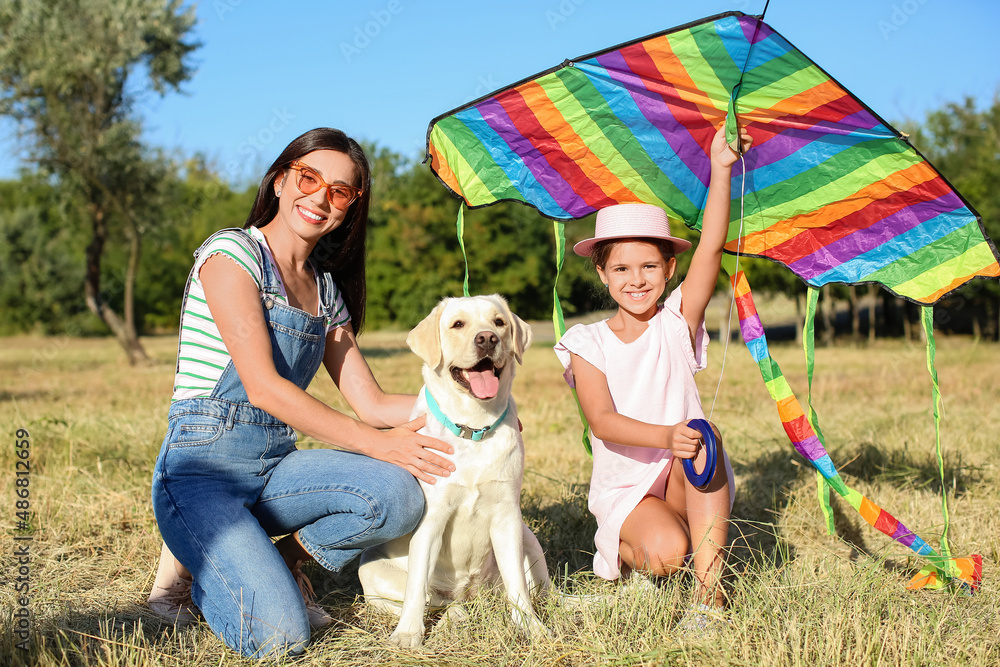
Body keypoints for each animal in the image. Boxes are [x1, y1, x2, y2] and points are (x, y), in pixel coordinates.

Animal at [358, 296, 548, 648]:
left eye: (499, 322)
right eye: (458, 324)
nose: (487, 338)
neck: (473, 427)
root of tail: (468, 594)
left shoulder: (506, 515)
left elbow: (517, 585)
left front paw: (531, 628)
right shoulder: (432, 518)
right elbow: (416, 587)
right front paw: (408, 635)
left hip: (527, 535)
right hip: (371, 570)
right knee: (431, 601)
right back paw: (452, 615)